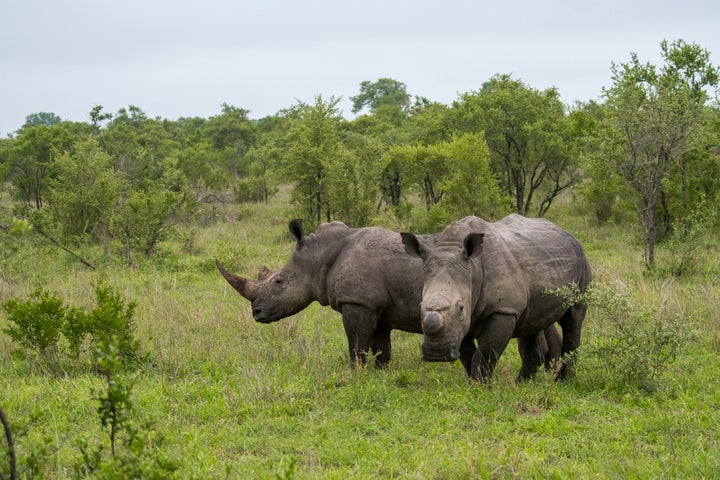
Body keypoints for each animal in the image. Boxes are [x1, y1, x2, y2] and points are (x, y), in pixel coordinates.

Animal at [400, 214, 592, 382]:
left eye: (461, 308)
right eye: (420, 306)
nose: (436, 354)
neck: (473, 270)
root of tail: (568, 233)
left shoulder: (503, 311)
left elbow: (485, 355)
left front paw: (480, 388)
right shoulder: (464, 323)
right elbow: (468, 356)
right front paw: (473, 386)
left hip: (582, 261)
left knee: (573, 319)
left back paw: (564, 382)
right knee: (532, 323)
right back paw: (522, 385)